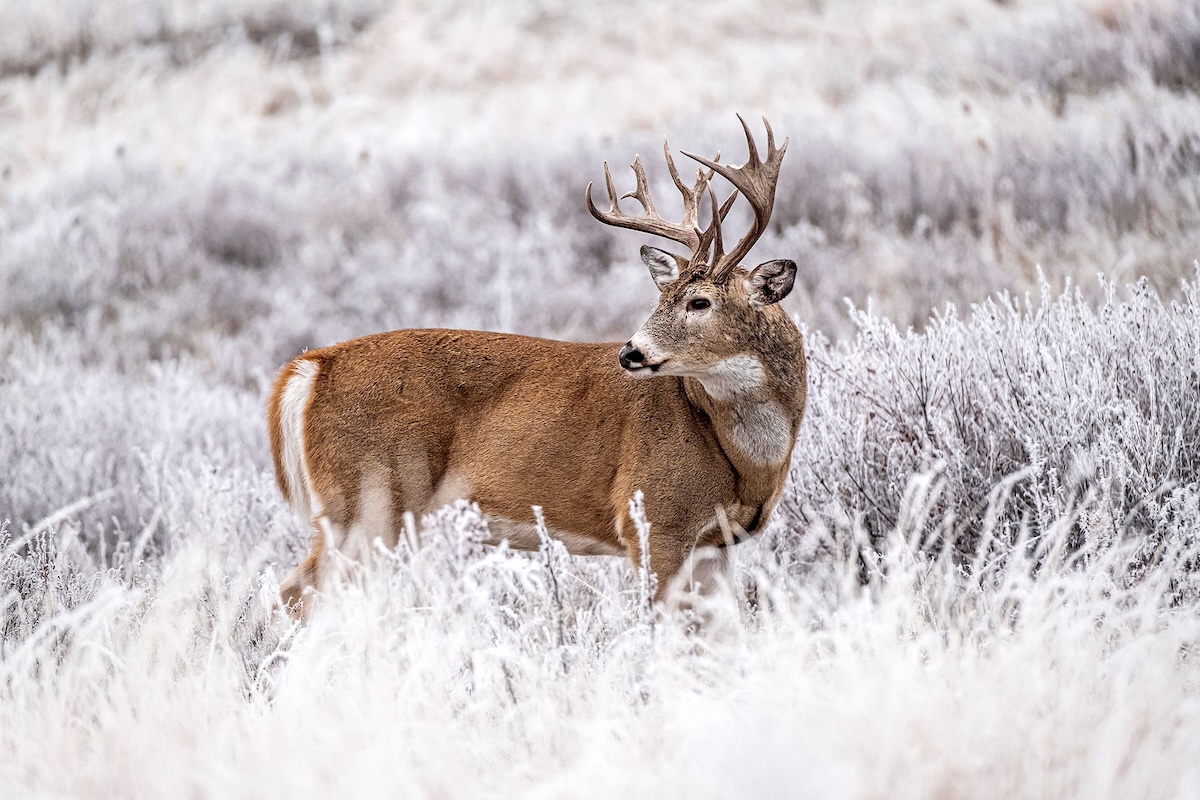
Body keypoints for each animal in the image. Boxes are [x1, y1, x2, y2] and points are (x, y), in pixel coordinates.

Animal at [266, 116, 807, 616]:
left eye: (699, 302)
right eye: (663, 297)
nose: (630, 352)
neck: (746, 459)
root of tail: (312, 366)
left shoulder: (718, 543)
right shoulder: (654, 518)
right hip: (366, 501)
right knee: (296, 591)